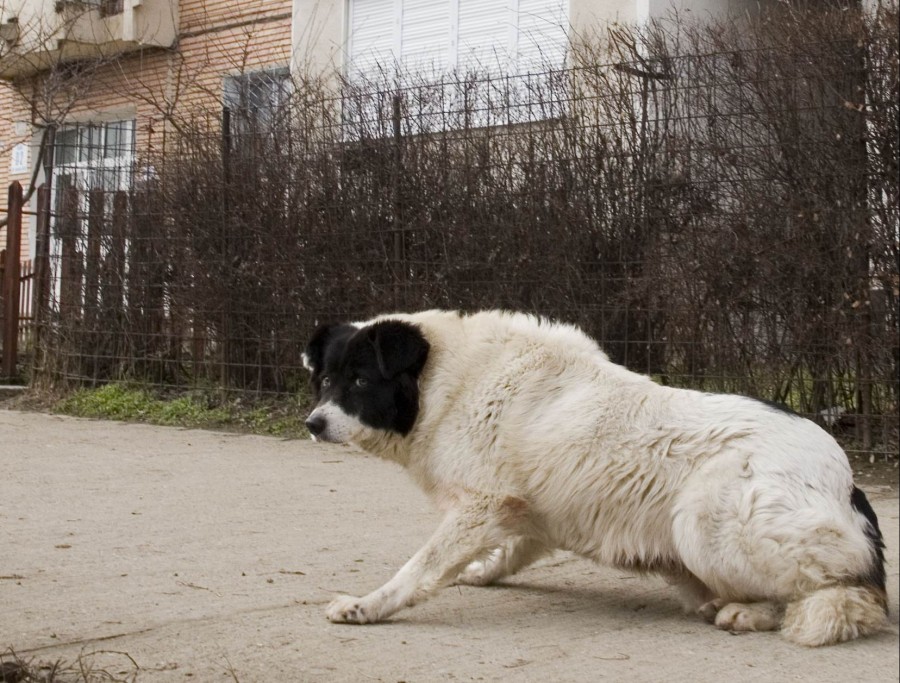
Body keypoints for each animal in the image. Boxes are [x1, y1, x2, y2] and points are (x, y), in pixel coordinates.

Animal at [302, 310, 884, 648]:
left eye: (360, 381)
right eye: (326, 380)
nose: (312, 424)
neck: (448, 382)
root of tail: (844, 480)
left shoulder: (479, 505)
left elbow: (417, 568)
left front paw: (368, 605)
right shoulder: (525, 510)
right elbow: (507, 551)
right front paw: (482, 571)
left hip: (703, 520)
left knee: (846, 599)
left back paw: (748, 610)